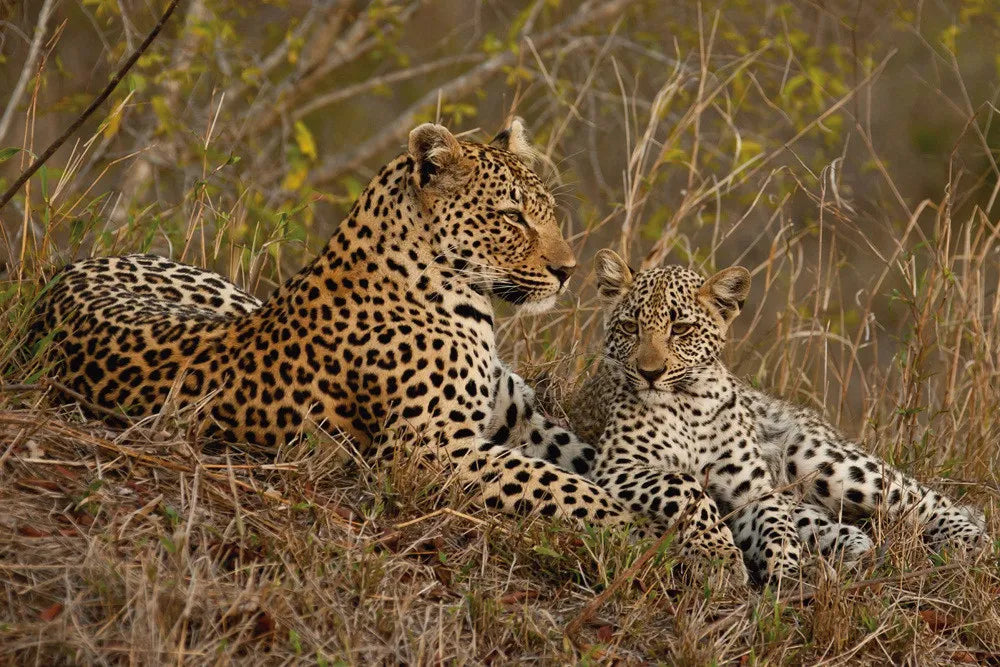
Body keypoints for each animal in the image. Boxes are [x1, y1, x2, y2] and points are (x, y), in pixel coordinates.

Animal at [30, 120, 745, 575]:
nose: (569, 271)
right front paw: (650, 533)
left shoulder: (517, 420)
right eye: (512, 216)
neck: (457, 296)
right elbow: (571, 489)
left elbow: (601, 466)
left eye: (545, 208)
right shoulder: (429, 450)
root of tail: (61, 276)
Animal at [570, 249, 988, 581]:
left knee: (921, 497)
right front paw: (719, 557)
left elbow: (774, 521)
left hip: (822, 460)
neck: (687, 403)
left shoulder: (754, 488)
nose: (650, 372)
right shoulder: (618, 467)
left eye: (681, 329)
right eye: (630, 327)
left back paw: (974, 539)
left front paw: (786, 566)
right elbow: (687, 486)